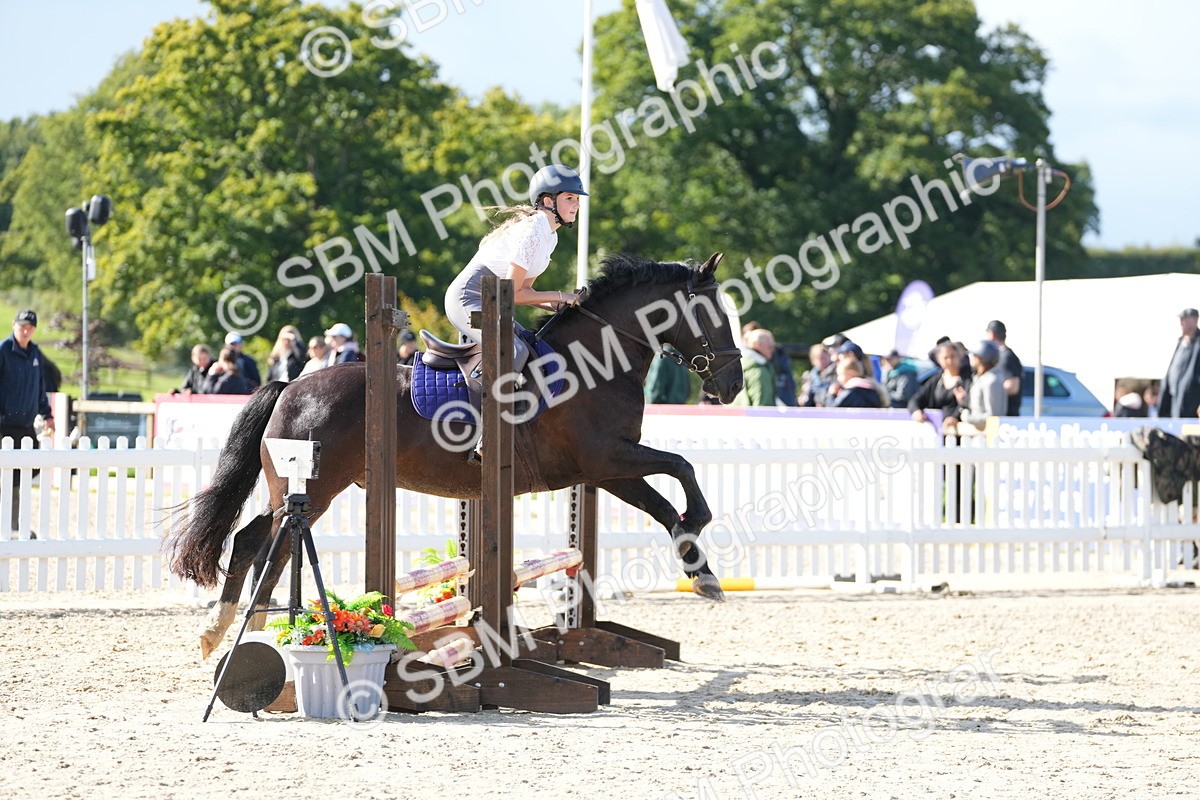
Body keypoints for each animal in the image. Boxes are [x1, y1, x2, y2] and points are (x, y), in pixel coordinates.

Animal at [166, 252, 745, 657]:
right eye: (712, 312)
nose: (734, 385)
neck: (593, 364)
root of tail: (290, 385)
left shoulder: (604, 470)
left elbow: (669, 494)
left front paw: (701, 567)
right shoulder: (608, 459)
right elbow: (680, 475)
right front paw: (701, 553)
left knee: (260, 543)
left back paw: (246, 629)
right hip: (312, 488)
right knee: (262, 542)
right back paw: (225, 631)